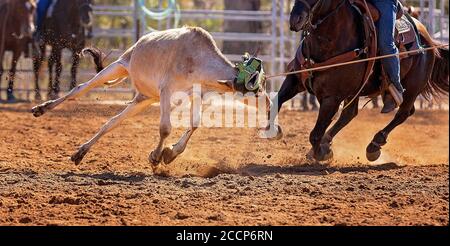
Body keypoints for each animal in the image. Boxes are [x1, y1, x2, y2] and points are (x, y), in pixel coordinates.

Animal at [268, 0, 448, 163]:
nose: (295, 19)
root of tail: (429, 40)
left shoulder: (331, 98)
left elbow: (315, 134)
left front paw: (322, 153)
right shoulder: (294, 79)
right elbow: (275, 102)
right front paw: (274, 130)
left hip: (413, 87)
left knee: (403, 113)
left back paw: (374, 144)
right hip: (355, 90)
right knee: (350, 114)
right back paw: (330, 142)